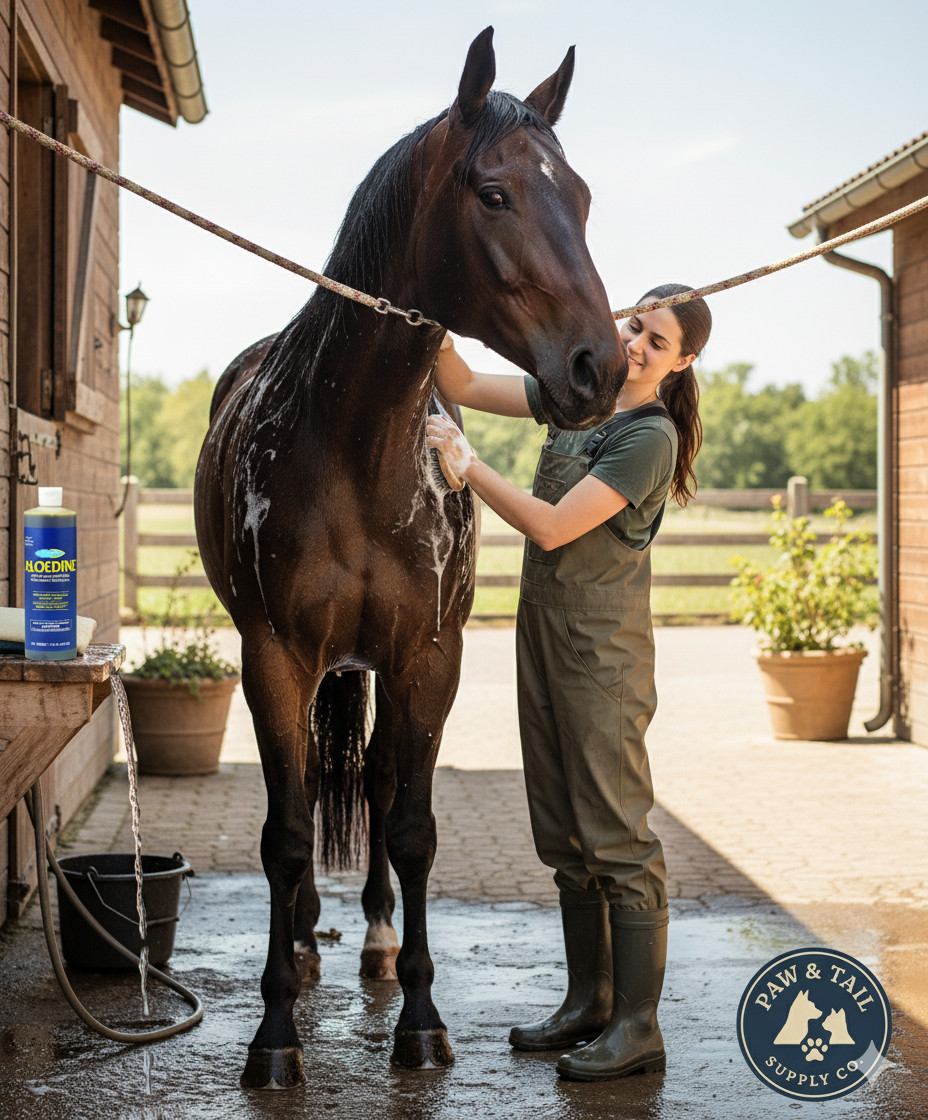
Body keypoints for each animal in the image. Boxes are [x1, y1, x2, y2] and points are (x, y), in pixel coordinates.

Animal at [194, 26, 625, 1090]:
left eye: (582, 195)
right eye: (494, 193)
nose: (599, 367)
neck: (356, 446)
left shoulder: (431, 657)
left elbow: (413, 827)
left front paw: (423, 1022)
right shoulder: (273, 658)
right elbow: (285, 834)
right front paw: (274, 1034)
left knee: (382, 785)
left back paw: (381, 940)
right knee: (315, 794)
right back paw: (306, 942)